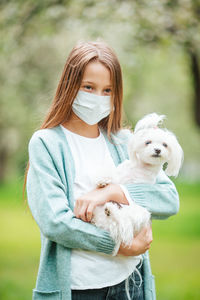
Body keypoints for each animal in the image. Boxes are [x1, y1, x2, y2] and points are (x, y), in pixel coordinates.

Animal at [91, 113, 184, 247]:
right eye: (148, 142)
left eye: (165, 145)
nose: (157, 150)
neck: (140, 168)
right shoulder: (120, 175)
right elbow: (113, 176)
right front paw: (103, 180)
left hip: (140, 213)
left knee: (122, 220)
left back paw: (112, 212)